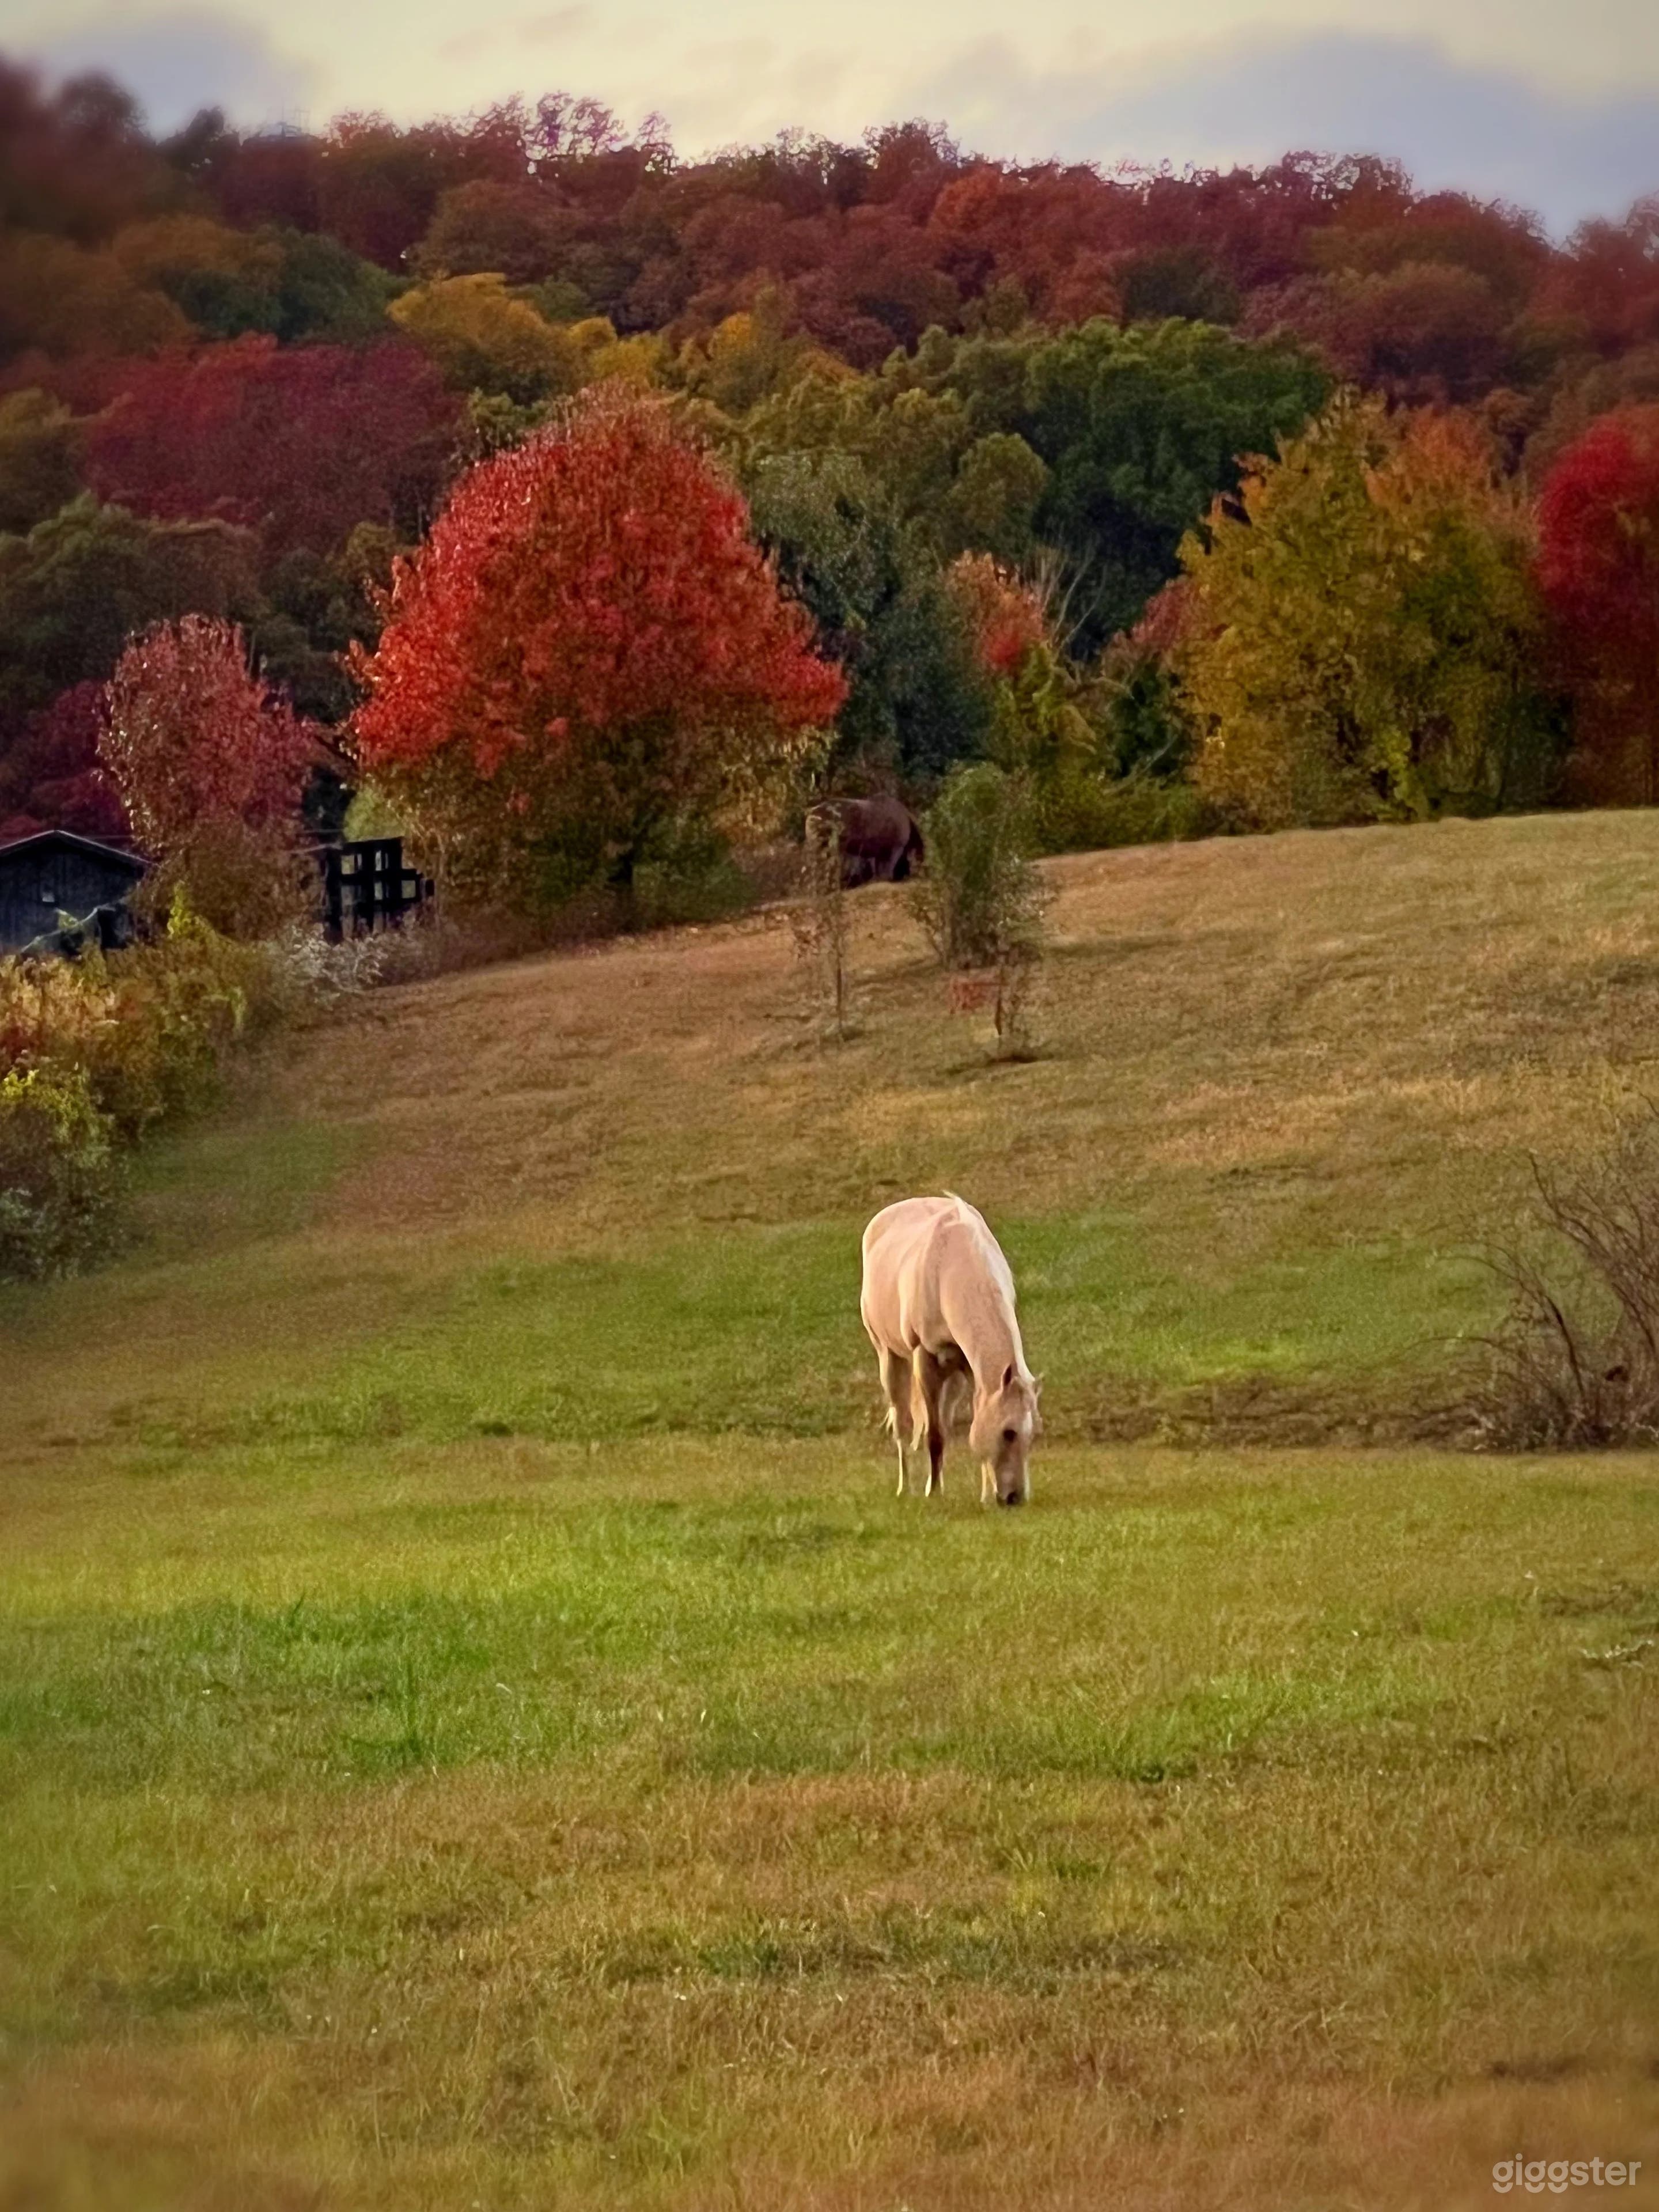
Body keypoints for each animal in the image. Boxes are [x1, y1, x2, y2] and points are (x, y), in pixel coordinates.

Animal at [860, 1193, 1042, 1506]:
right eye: (1009, 1433)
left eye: (1031, 1436)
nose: (1014, 1498)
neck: (951, 1268)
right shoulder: (925, 1359)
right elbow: (934, 1435)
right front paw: (933, 1492)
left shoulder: (970, 1368)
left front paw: (983, 1494)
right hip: (889, 1357)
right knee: (902, 1423)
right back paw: (905, 1488)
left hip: (953, 1378)